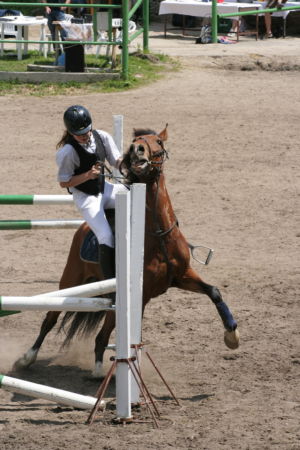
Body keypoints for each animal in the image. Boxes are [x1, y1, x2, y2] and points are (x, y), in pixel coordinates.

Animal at [14, 125, 239, 378]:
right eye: (135, 140)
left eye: (158, 141)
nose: (136, 149)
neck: (159, 235)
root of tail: (83, 229)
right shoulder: (141, 295)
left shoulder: (182, 276)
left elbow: (214, 292)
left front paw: (232, 335)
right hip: (72, 281)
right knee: (52, 319)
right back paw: (30, 359)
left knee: (101, 335)